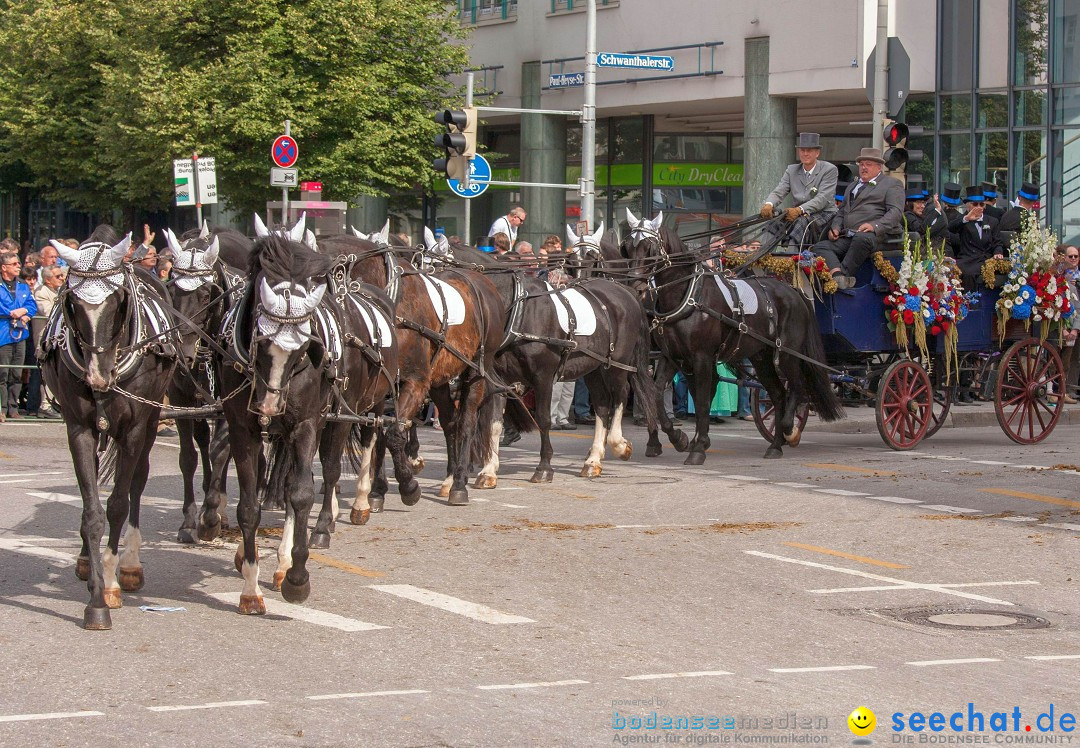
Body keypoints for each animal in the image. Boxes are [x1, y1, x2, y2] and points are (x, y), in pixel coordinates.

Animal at [40, 224, 181, 626]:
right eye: (72, 302)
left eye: (118, 300)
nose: (98, 376)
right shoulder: (79, 428)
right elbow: (92, 511)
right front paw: (95, 598)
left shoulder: (134, 428)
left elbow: (118, 502)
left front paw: (111, 582)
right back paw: (86, 560)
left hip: (149, 424)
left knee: (136, 482)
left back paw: (129, 564)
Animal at [162, 223, 252, 541]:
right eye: (172, 288)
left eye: (205, 295)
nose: (183, 352)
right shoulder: (180, 398)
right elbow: (189, 456)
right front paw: (190, 520)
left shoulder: (229, 401)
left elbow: (220, 450)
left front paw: (211, 515)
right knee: (203, 441)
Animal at [617, 207, 842, 457]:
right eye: (627, 247)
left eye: (650, 247)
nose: (636, 287)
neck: (688, 295)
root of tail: (794, 292)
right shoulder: (672, 356)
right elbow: (656, 393)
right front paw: (680, 438)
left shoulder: (702, 358)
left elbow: (702, 400)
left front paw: (697, 448)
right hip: (762, 357)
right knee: (778, 394)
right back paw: (775, 445)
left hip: (787, 354)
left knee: (796, 386)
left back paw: (789, 431)